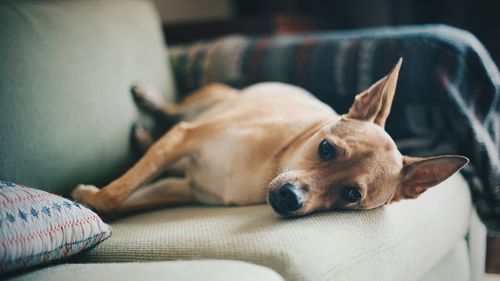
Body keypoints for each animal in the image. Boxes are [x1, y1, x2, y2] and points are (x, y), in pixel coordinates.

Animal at [73, 58, 468, 217]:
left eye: (351, 195)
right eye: (326, 149)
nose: (289, 197)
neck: (267, 167)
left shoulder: (182, 188)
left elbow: (123, 199)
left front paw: (92, 197)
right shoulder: (184, 138)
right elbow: (119, 192)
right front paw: (92, 195)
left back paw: (142, 137)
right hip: (206, 103)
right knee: (174, 111)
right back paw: (150, 99)